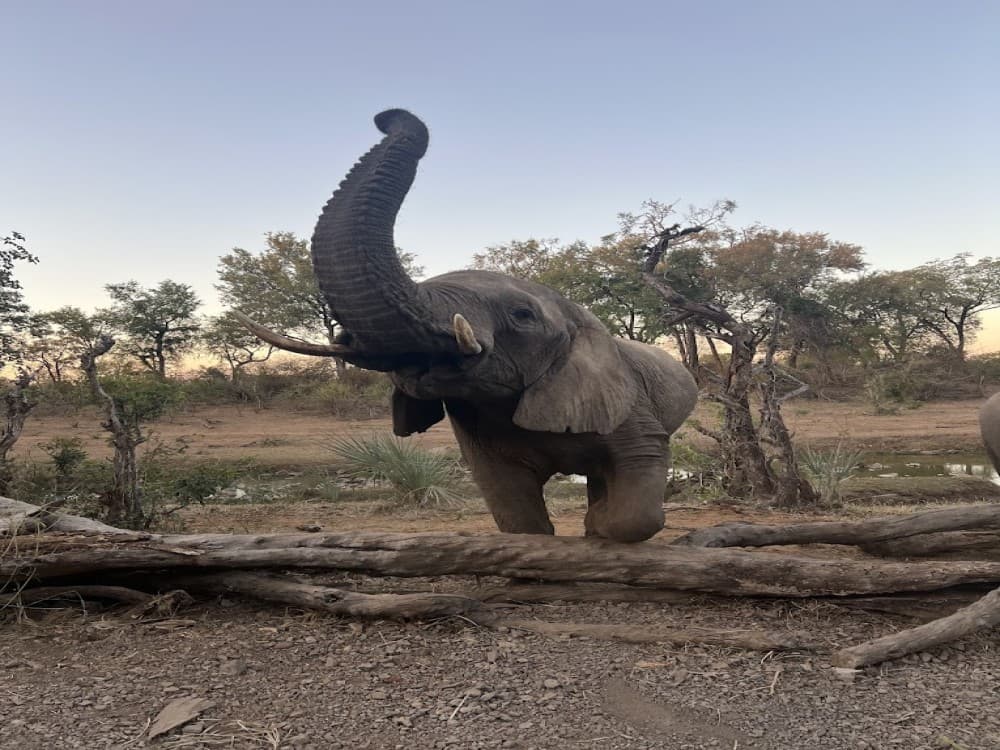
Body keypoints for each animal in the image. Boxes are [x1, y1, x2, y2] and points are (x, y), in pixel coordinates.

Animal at [241, 109, 698, 542]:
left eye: (523, 316)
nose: (387, 118)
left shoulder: (623, 399)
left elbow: (639, 484)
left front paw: (600, 525)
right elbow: (512, 508)